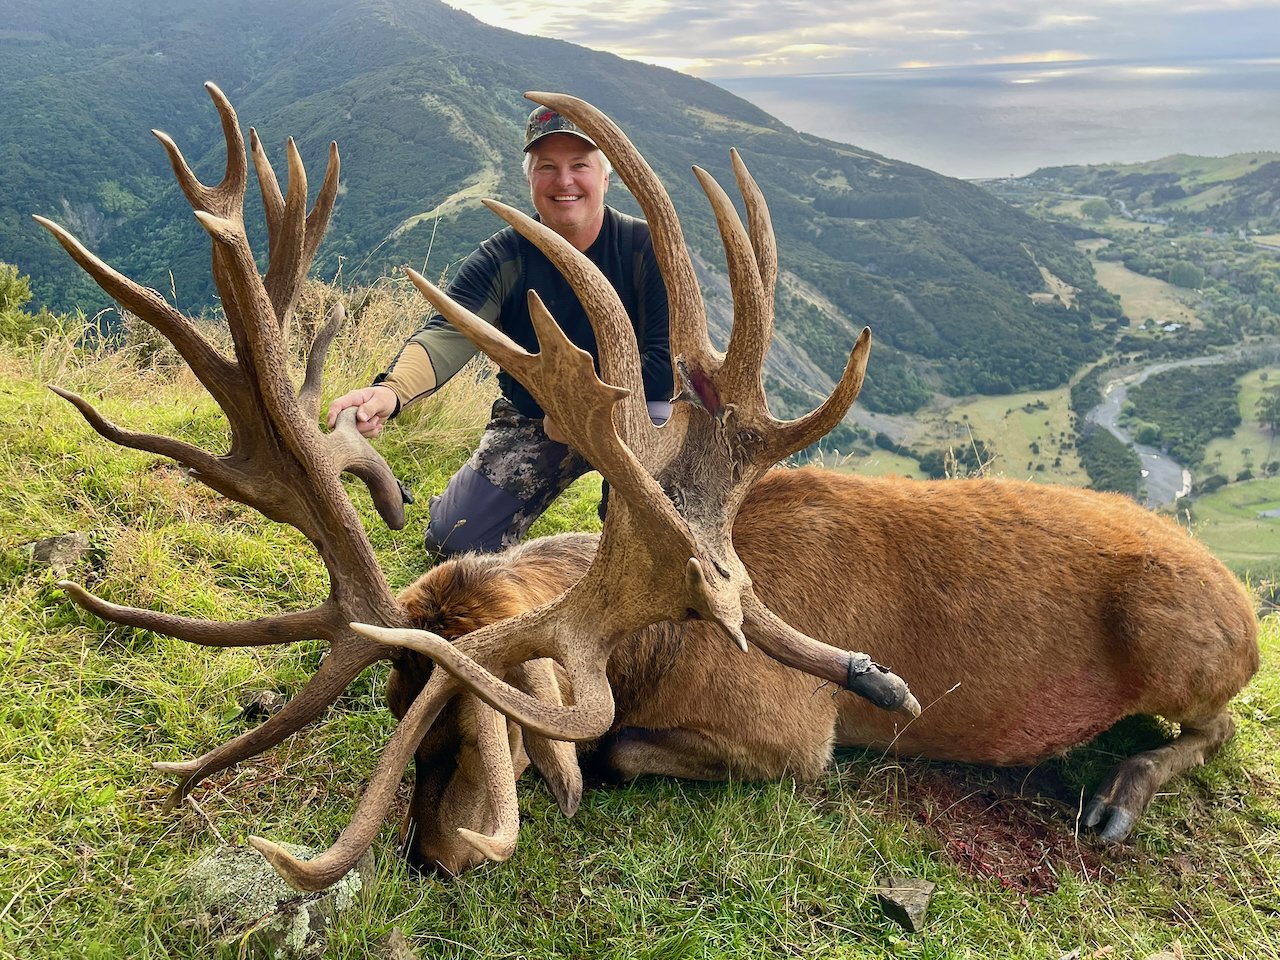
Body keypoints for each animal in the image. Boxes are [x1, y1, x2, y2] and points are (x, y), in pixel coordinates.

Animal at [40, 84, 1258, 889]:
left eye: (462, 735)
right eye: (396, 713)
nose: (429, 857)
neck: (655, 637)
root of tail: (1243, 604)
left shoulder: (792, 742)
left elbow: (620, 745)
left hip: (1182, 643)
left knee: (1217, 727)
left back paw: (1117, 795)